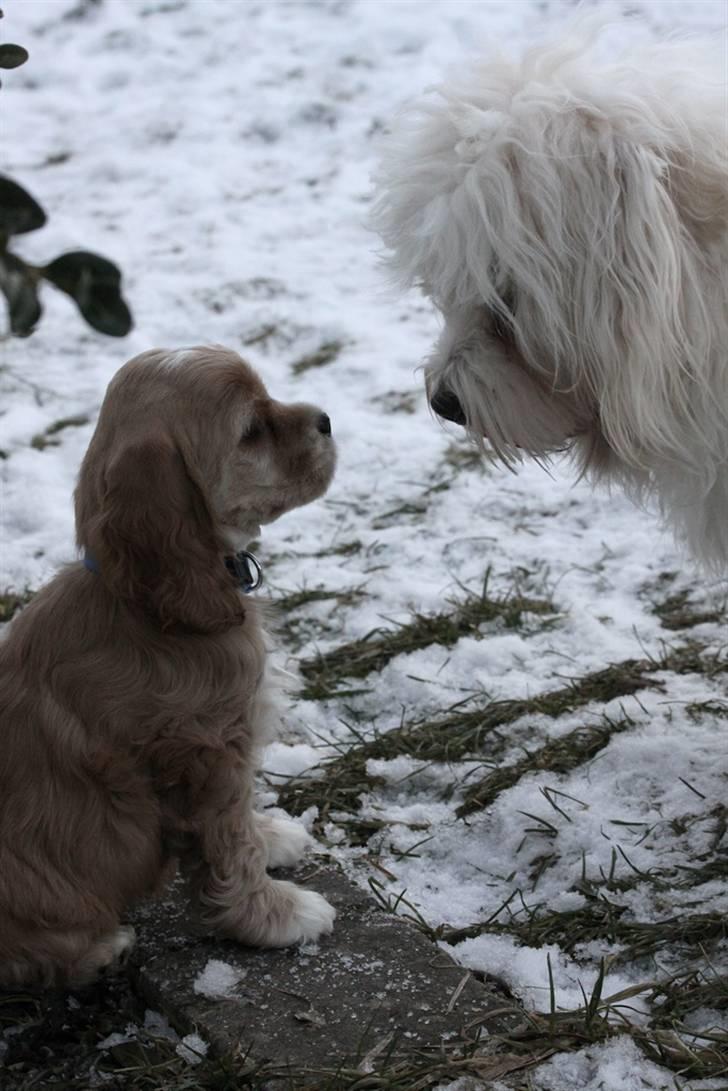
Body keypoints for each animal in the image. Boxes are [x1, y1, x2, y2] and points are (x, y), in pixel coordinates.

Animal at [0, 349, 336, 990]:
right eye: (251, 430)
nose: (328, 419)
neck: (144, 605)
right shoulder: (208, 751)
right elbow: (230, 844)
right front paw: (277, 915)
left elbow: (244, 821)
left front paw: (272, 836)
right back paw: (103, 947)